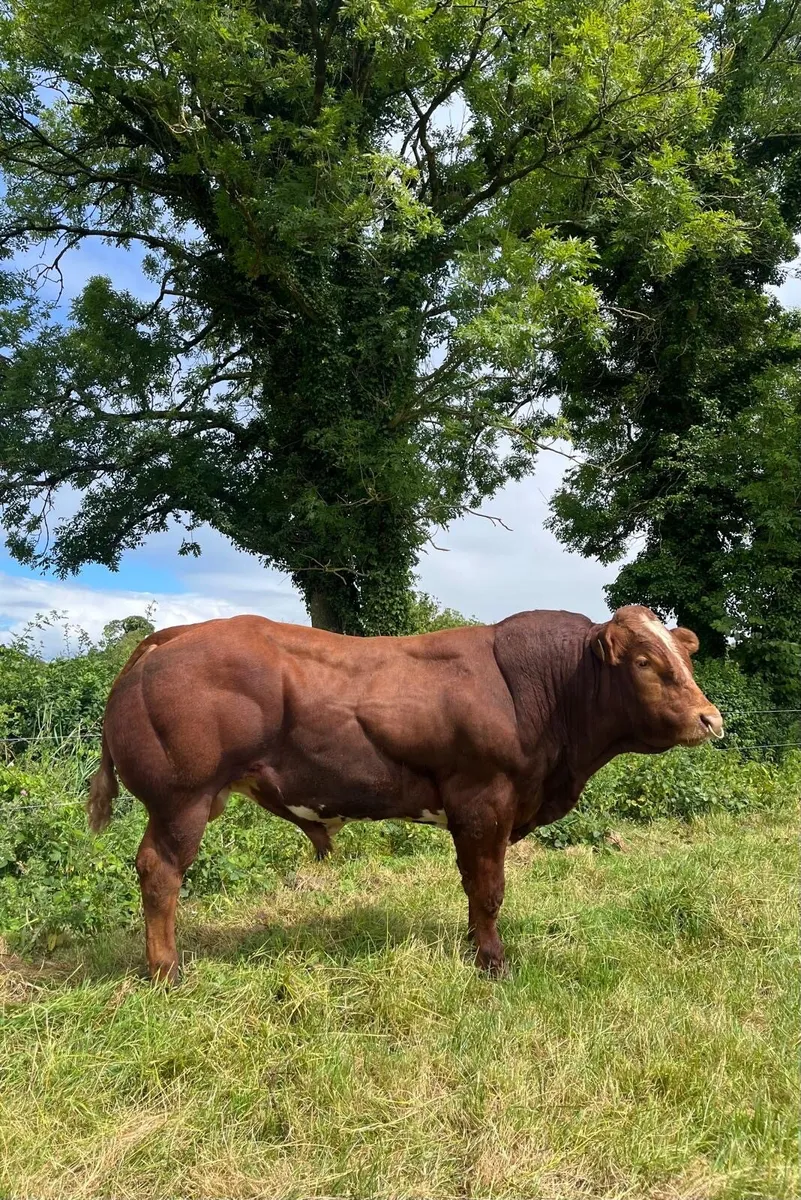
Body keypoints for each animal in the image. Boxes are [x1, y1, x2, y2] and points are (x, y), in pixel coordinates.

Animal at [87, 604, 723, 982]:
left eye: (684, 656)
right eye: (644, 662)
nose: (710, 719)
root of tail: (169, 636)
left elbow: (473, 890)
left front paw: (474, 947)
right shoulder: (484, 801)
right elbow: (488, 889)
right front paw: (493, 964)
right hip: (182, 799)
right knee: (160, 872)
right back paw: (167, 971)